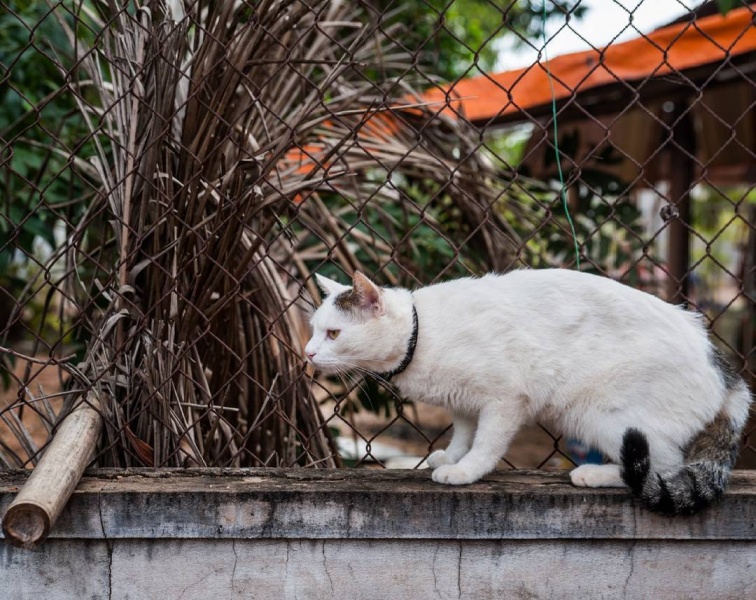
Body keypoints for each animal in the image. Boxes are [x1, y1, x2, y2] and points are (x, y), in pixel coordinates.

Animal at [306, 270, 752, 512]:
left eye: (334, 334)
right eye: (314, 330)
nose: (307, 353)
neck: (422, 332)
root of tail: (725, 370)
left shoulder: (506, 399)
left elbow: (486, 443)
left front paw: (466, 471)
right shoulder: (463, 403)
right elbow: (464, 433)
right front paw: (451, 456)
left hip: (602, 415)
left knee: (663, 465)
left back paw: (594, 474)